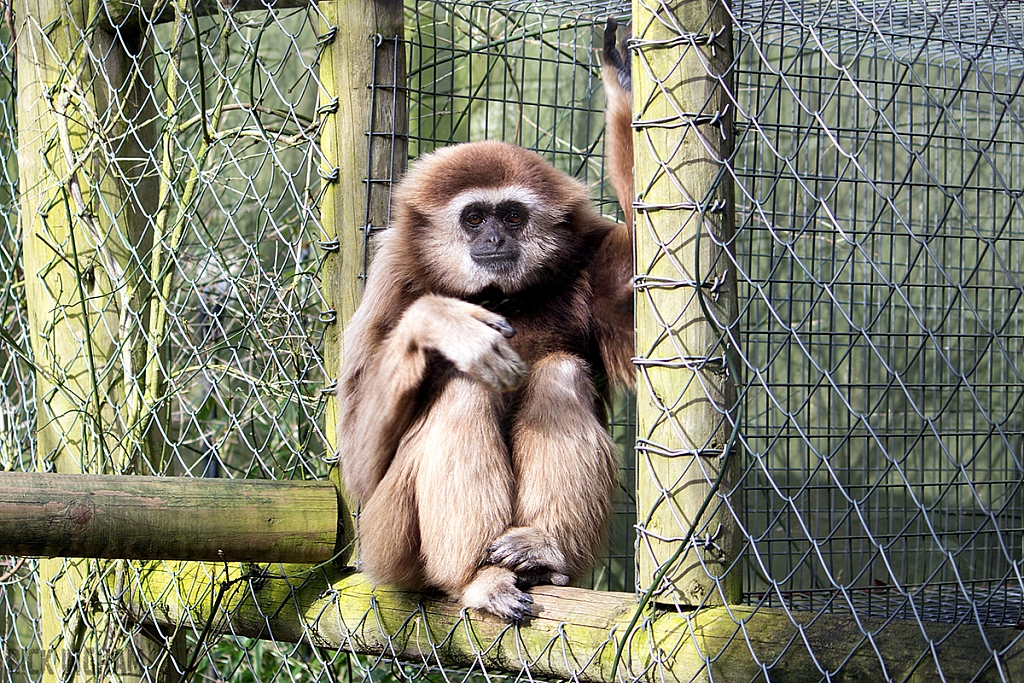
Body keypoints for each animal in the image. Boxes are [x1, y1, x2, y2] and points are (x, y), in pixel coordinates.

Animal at [335, 25, 634, 626]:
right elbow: (359, 462)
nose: (493, 238)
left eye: (513, 216)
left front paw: (624, 87)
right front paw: (442, 321)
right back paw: (477, 578)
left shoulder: (591, 253)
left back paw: (542, 550)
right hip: (384, 541)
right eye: (474, 217)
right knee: (463, 388)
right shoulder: (392, 271)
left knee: (560, 373)